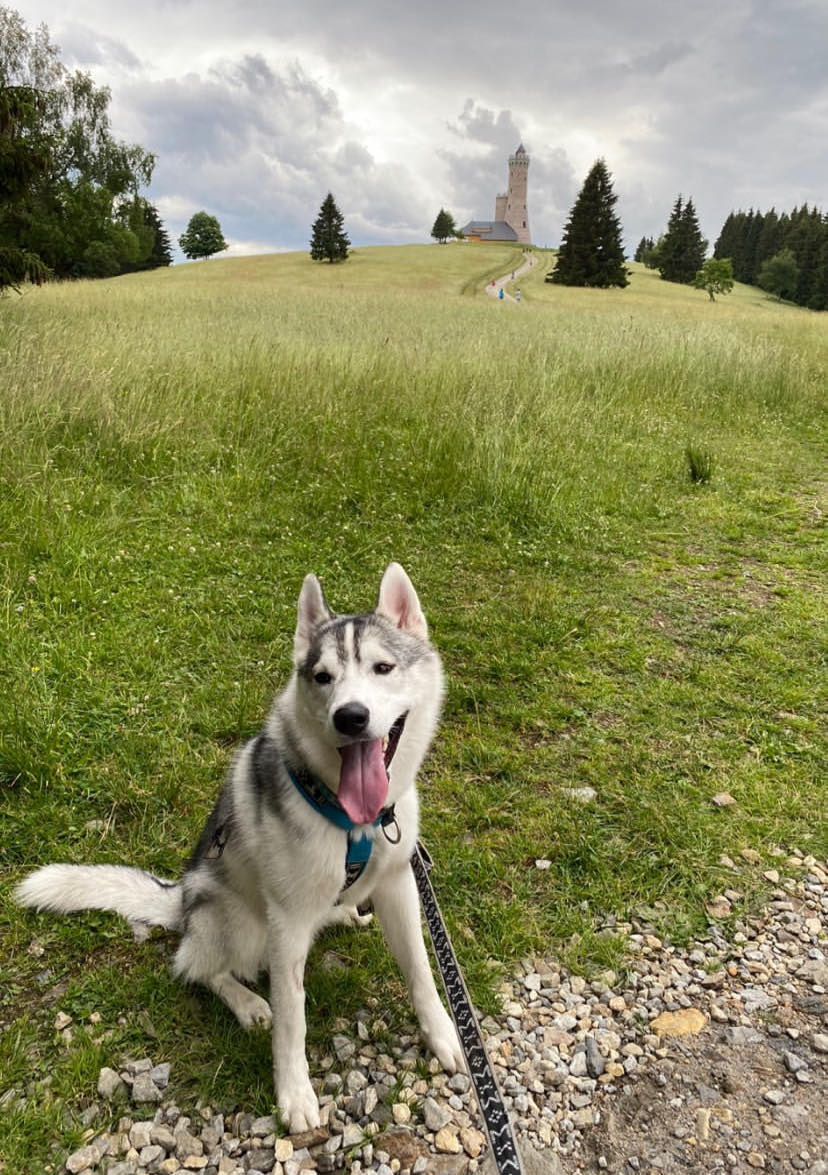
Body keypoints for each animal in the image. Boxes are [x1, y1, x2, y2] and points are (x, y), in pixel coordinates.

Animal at [16, 564, 462, 1132]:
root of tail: (181, 899)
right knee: (195, 966)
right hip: (245, 925)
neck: (351, 822)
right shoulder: (287, 924)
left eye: (383, 667)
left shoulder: (399, 884)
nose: (350, 717)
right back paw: (247, 1001)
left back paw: (340, 914)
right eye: (323, 677)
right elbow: (292, 1019)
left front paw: (444, 1035)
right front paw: (294, 1093)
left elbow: (422, 971)